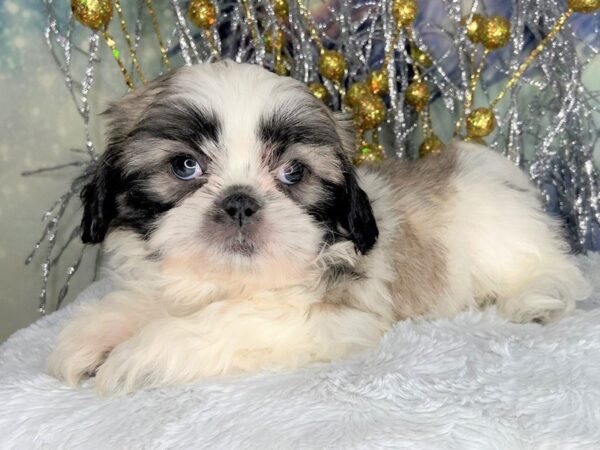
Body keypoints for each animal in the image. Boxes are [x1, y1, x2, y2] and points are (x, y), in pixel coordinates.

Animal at [48, 60, 592, 394]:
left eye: (294, 172)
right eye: (185, 166)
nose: (239, 202)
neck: (232, 280)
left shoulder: (326, 317)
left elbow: (223, 321)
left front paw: (138, 354)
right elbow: (146, 301)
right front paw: (96, 333)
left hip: (506, 240)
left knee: (556, 270)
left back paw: (535, 298)